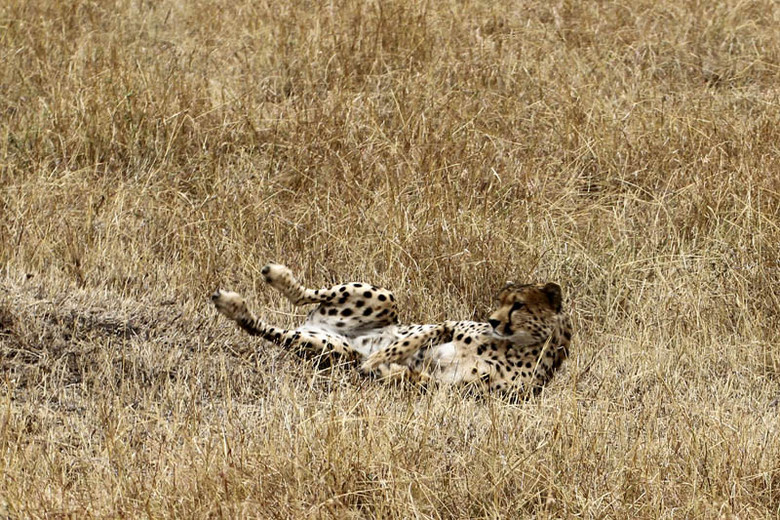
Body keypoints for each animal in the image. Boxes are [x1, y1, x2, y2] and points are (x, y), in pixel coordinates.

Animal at [210, 264, 568, 398]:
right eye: (500, 302)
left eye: (518, 305)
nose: (493, 320)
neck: (519, 344)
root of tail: (314, 323)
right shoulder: (450, 325)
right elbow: (425, 335)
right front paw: (381, 357)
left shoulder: (461, 389)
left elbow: (415, 377)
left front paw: (383, 368)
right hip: (382, 296)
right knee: (305, 294)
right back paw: (275, 276)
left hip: (329, 348)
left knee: (264, 329)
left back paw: (232, 305)